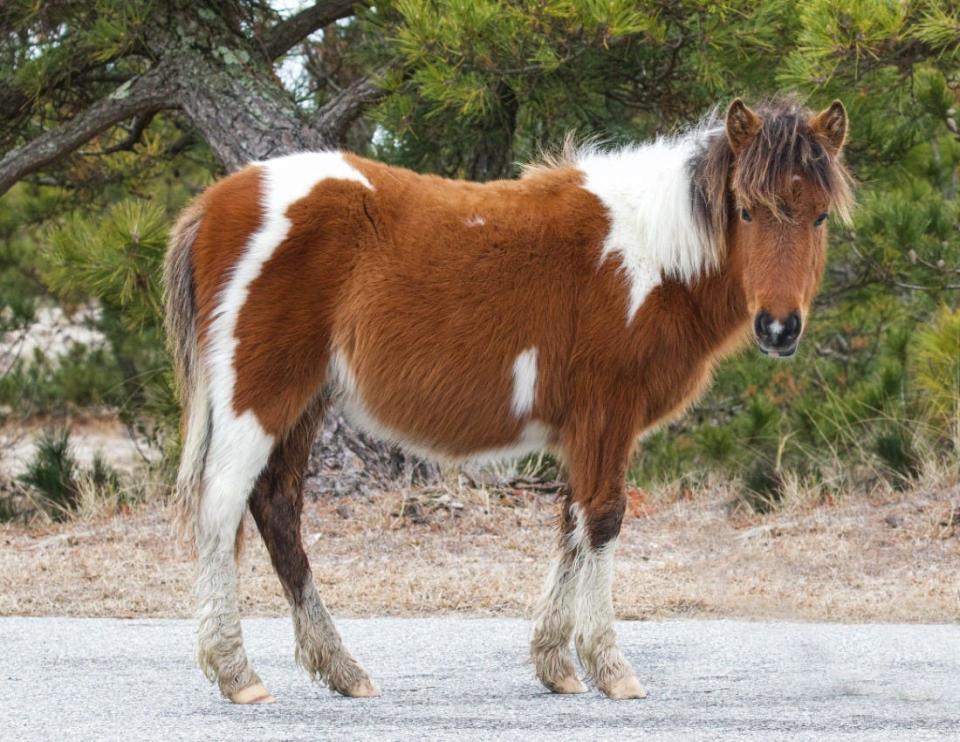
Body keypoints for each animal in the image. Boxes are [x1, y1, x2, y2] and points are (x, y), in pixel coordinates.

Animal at [161, 97, 852, 704]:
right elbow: (603, 519)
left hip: (304, 403)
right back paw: (237, 673)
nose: (779, 328)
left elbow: (573, 521)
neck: (648, 258)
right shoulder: (608, 415)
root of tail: (215, 204)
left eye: (819, 216)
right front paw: (610, 667)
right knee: (222, 507)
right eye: (746, 211)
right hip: (261, 394)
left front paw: (557, 666)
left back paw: (342, 670)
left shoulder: (582, 430)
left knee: (277, 509)